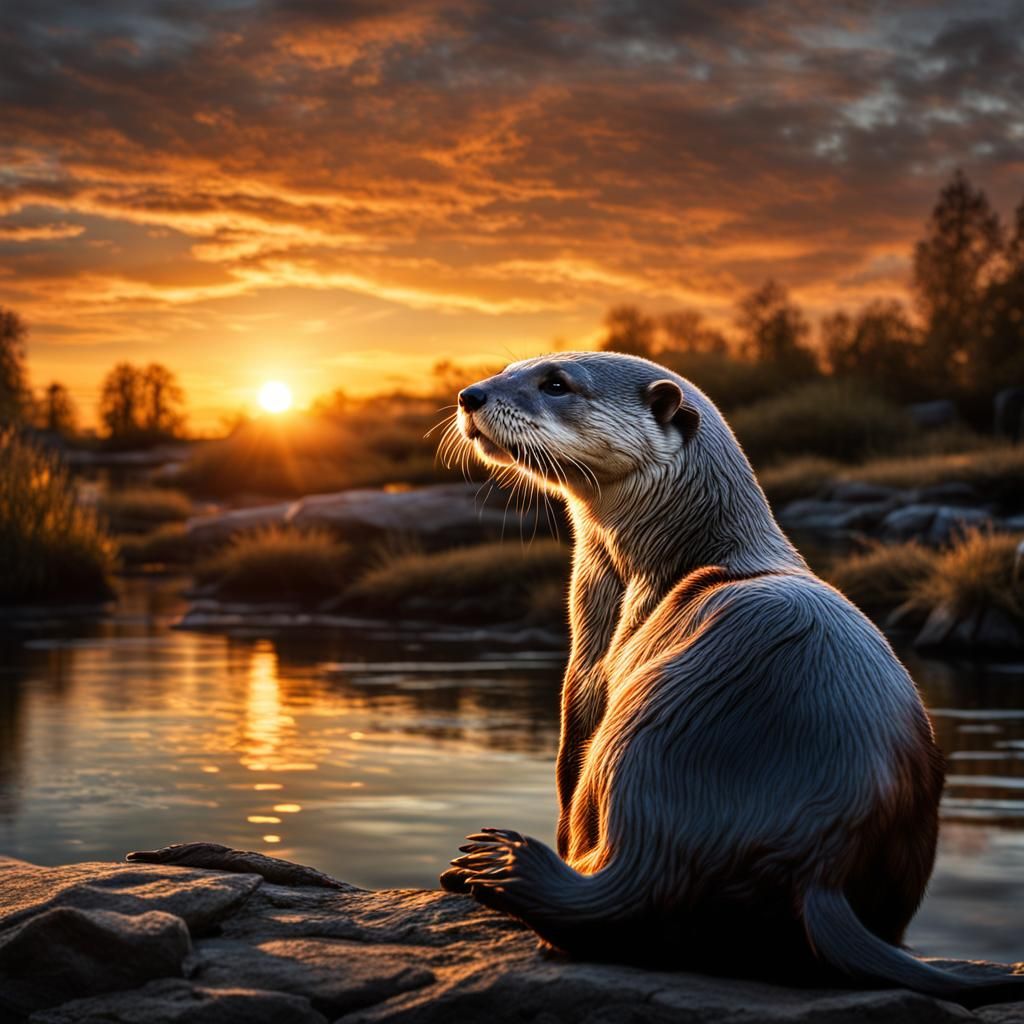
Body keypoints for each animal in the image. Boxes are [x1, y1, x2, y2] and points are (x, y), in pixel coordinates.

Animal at [439, 352, 1023, 1006]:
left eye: (556, 383)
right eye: (510, 367)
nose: (470, 395)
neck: (667, 558)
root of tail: (818, 858)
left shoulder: (590, 674)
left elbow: (568, 766)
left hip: (640, 750)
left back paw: (501, 864)